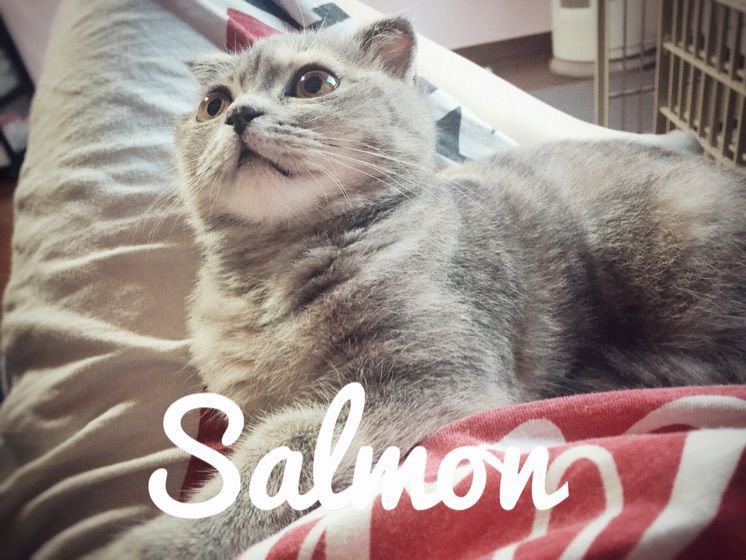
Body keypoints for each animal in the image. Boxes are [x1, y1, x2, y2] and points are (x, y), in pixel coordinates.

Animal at [94, 16, 746, 559]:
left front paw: (160, 542)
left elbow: (276, 452)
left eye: (312, 83)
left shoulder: (421, 382)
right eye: (212, 104)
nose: (239, 114)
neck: (273, 274)